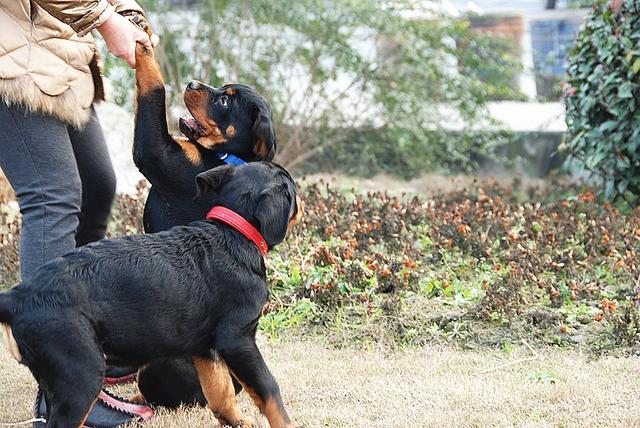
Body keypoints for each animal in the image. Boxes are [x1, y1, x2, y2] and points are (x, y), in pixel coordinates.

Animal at [0, 161, 302, 428]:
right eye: (292, 189)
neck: (235, 233)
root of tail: (17, 297)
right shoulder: (237, 339)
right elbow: (268, 390)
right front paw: (287, 424)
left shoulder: (206, 349)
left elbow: (220, 391)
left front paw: (235, 421)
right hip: (80, 373)